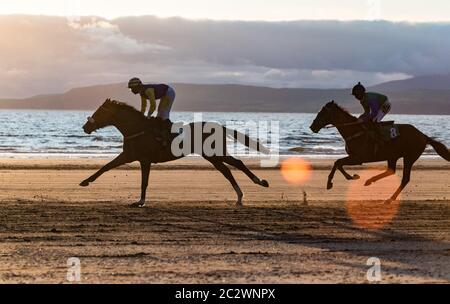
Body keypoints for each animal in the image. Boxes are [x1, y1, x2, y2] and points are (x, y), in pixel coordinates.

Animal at [80, 98, 270, 208]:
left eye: (99, 111)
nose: (85, 127)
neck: (137, 129)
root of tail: (220, 127)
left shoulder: (144, 159)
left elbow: (144, 182)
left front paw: (140, 201)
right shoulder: (129, 155)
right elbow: (105, 167)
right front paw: (85, 181)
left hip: (216, 153)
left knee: (238, 163)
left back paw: (259, 182)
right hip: (211, 156)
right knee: (226, 171)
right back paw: (239, 196)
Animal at [310, 101, 450, 203]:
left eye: (322, 113)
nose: (312, 127)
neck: (354, 130)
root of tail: (424, 136)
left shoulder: (359, 158)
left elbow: (338, 162)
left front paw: (344, 179)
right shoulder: (354, 157)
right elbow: (337, 163)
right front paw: (344, 179)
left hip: (409, 157)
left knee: (405, 179)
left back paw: (390, 198)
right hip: (393, 156)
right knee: (391, 170)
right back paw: (370, 181)